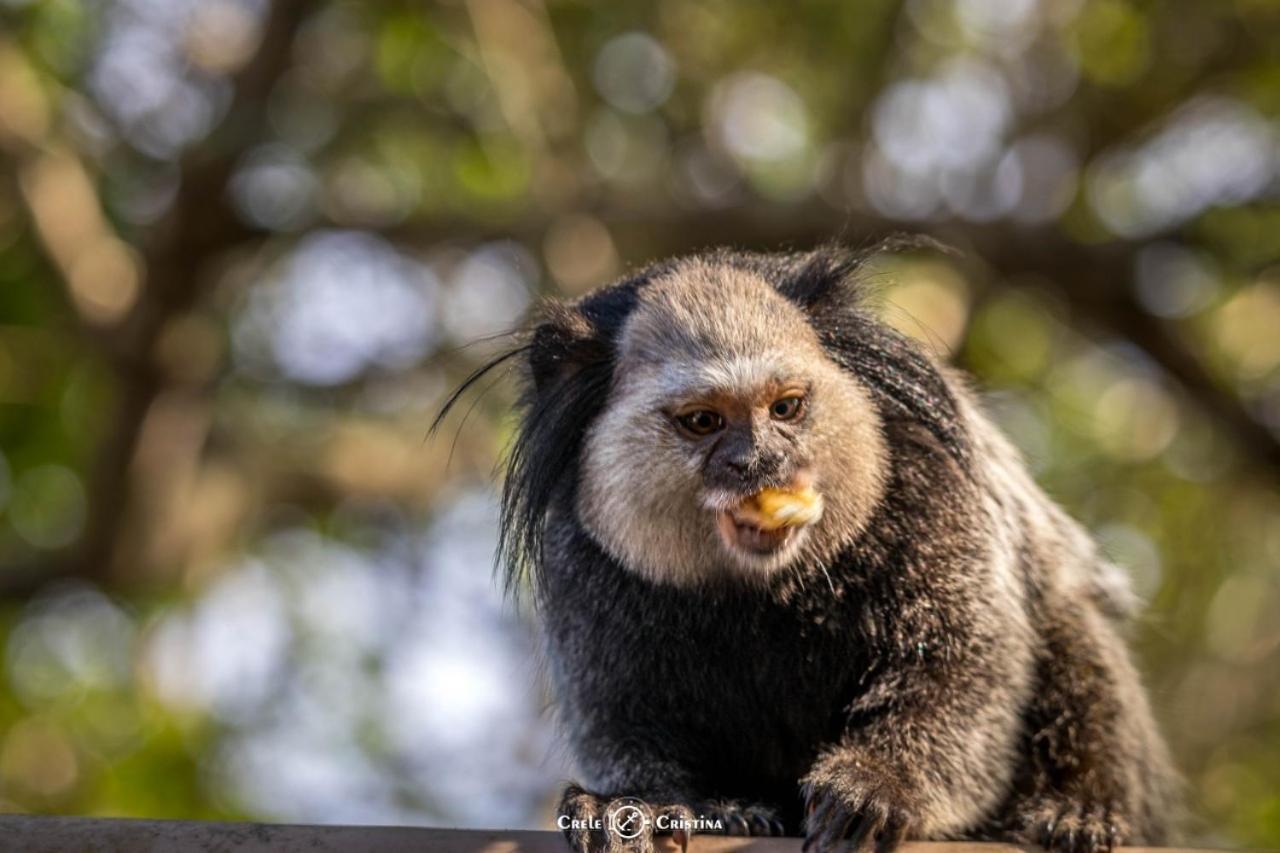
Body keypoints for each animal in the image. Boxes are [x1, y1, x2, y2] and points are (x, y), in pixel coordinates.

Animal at [440, 242, 1177, 845]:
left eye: (786, 407)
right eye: (704, 422)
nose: (761, 461)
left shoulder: (930, 484)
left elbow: (965, 668)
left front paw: (878, 785)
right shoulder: (579, 556)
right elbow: (618, 716)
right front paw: (644, 806)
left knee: (1067, 621)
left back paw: (1077, 812)